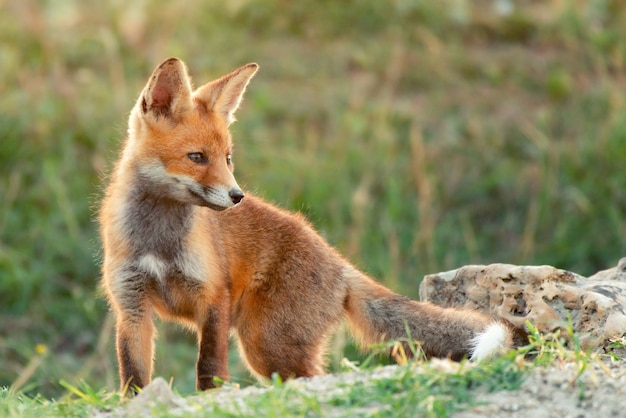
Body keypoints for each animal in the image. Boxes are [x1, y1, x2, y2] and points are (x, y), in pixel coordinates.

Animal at [98, 57, 516, 394]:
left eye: (228, 158)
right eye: (197, 157)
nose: (237, 196)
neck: (159, 242)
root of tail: (339, 263)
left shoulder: (213, 296)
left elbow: (209, 367)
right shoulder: (131, 305)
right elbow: (133, 373)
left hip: (266, 344)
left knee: (315, 378)